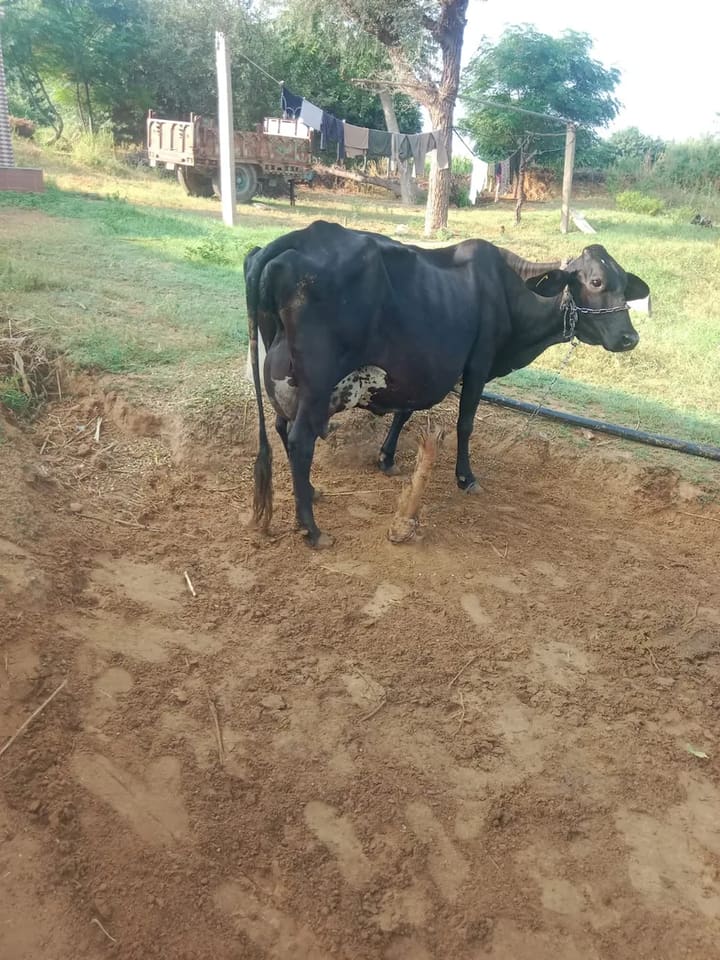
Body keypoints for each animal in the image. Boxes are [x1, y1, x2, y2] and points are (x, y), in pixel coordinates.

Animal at [244, 220, 649, 548]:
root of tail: (291, 240)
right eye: (596, 282)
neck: (510, 288)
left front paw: (386, 458)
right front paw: (466, 477)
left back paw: (311, 492)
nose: (629, 338)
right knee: (300, 440)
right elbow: (465, 423)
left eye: (625, 286)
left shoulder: (421, 365)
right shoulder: (478, 364)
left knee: (281, 427)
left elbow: (405, 411)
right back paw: (311, 528)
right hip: (316, 380)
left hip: (285, 376)